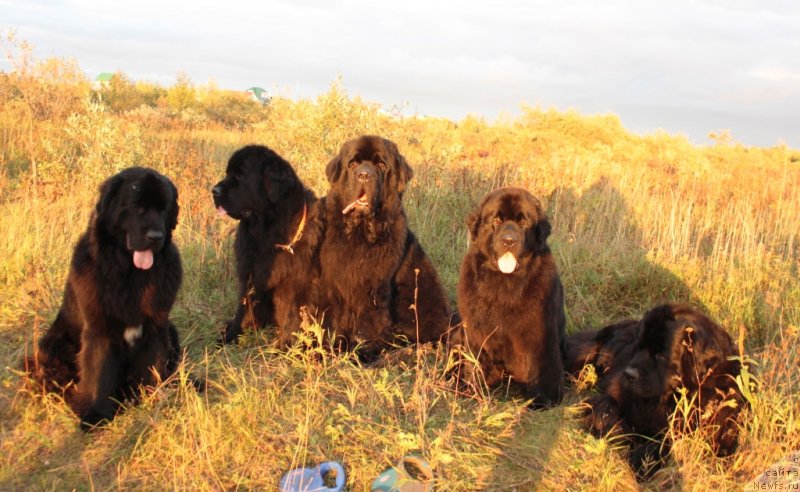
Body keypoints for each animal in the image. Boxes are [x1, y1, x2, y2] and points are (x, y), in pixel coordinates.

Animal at [25, 167, 183, 428]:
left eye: (163, 208)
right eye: (136, 205)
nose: (156, 236)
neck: (130, 274)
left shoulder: (156, 326)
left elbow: (151, 367)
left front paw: (147, 399)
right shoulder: (100, 329)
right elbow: (98, 372)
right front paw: (96, 414)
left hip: (172, 330)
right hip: (53, 344)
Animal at [214, 145, 326, 346]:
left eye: (240, 175)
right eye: (228, 173)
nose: (214, 190)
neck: (265, 234)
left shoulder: (294, 282)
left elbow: (292, 313)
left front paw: (286, 344)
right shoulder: (249, 275)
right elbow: (244, 307)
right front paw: (233, 334)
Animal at [320, 135, 456, 358]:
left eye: (381, 165)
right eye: (353, 163)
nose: (364, 175)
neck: (362, 231)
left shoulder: (374, 287)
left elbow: (369, 322)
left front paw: (363, 350)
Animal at [564, 302, 752, 478]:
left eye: (661, 355)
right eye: (639, 347)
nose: (628, 374)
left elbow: (668, 441)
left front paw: (639, 460)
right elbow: (607, 408)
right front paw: (618, 433)